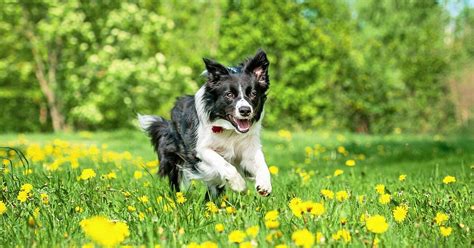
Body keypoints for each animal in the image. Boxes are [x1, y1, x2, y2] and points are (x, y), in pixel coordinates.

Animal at [138, 50, 270, 198]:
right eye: (229, 94)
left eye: (253, 93)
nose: (245, 110)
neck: (230, 130)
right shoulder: (200, 149)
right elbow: (223, 164)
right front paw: (239, 185)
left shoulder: (248, 147)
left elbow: (261, 163)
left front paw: (264, 184)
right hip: (173, 156)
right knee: (175, 180)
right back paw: (176, 198)